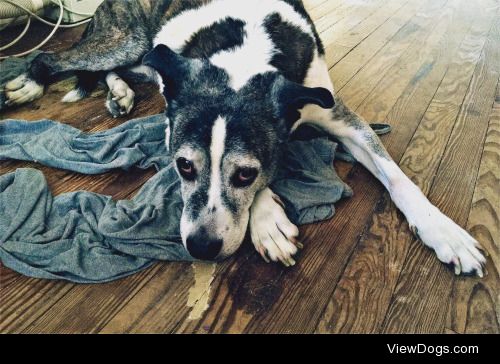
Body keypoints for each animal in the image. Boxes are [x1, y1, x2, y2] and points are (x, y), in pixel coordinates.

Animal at [1, 0, 486, 276]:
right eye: (183, 166)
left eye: (245, 174)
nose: (201, 248)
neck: (243, 58)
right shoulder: (172, 113)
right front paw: (269, 221)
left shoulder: (338, 114)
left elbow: (398, 178)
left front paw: (445, 232)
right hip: (127, 38)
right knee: (56, 58)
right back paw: (28, 84)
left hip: (138, 51)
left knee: (111, 69)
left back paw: (117, 92)